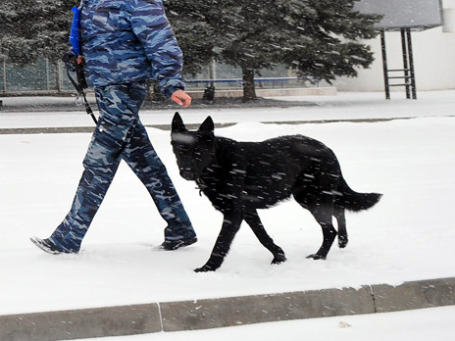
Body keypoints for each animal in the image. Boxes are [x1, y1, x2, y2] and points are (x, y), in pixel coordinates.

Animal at [171, 113, 382, 272]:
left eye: (198, 153)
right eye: (180, 152)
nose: (186, 172)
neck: (216, 163)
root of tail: (327, 148)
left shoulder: (234, 212)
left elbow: (221, 242)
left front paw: (209, 268)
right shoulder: (248, 210)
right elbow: (262, 235)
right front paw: (279, 256)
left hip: (312, 199)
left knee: (330, 229)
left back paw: (320, 256)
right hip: (308, 197)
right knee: (339, 209)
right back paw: (342, 241)